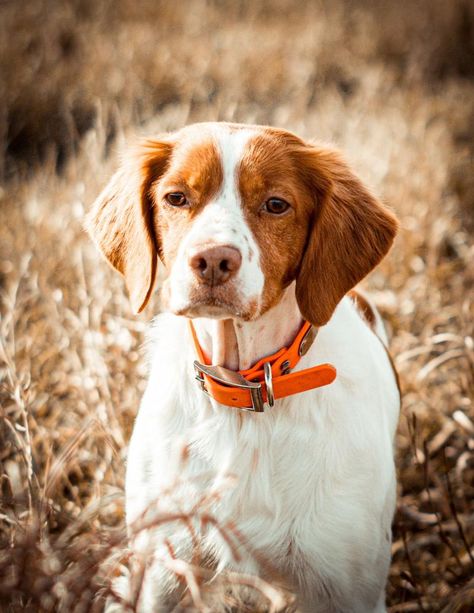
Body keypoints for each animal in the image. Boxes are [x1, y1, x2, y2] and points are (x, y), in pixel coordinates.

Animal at [87, 120, 398, 612]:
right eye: (176, 197)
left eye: (276, 205)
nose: (213, 260)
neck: (240, 397)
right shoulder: (166, 566)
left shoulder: (347, 586)